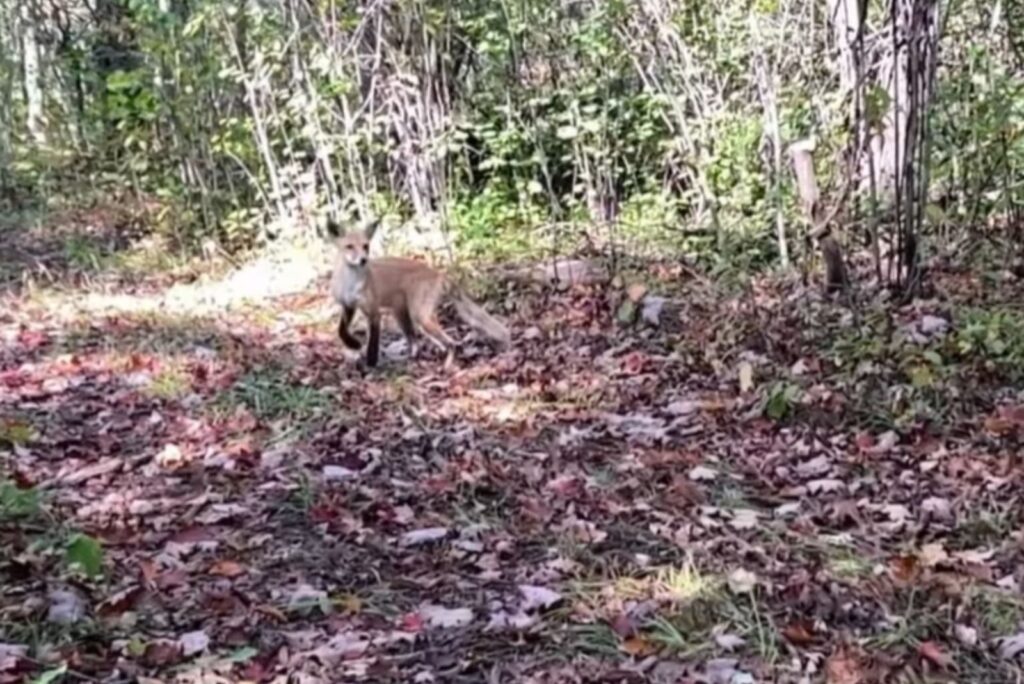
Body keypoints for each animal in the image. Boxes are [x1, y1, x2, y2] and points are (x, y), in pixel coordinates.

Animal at [328, 218, 511, 367]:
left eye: (366, 246)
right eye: (349, 247)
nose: (363, 260)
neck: (350, 285)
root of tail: (439, 273)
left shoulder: (373, 312)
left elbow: (373, 343)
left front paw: (370, 363)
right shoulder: (348, 305)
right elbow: (341, 330)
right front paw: (352, 343)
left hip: (420, 317)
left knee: (451, 343)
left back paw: (448, 366)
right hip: (404, 315)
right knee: (416, 341)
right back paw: (417, 357)